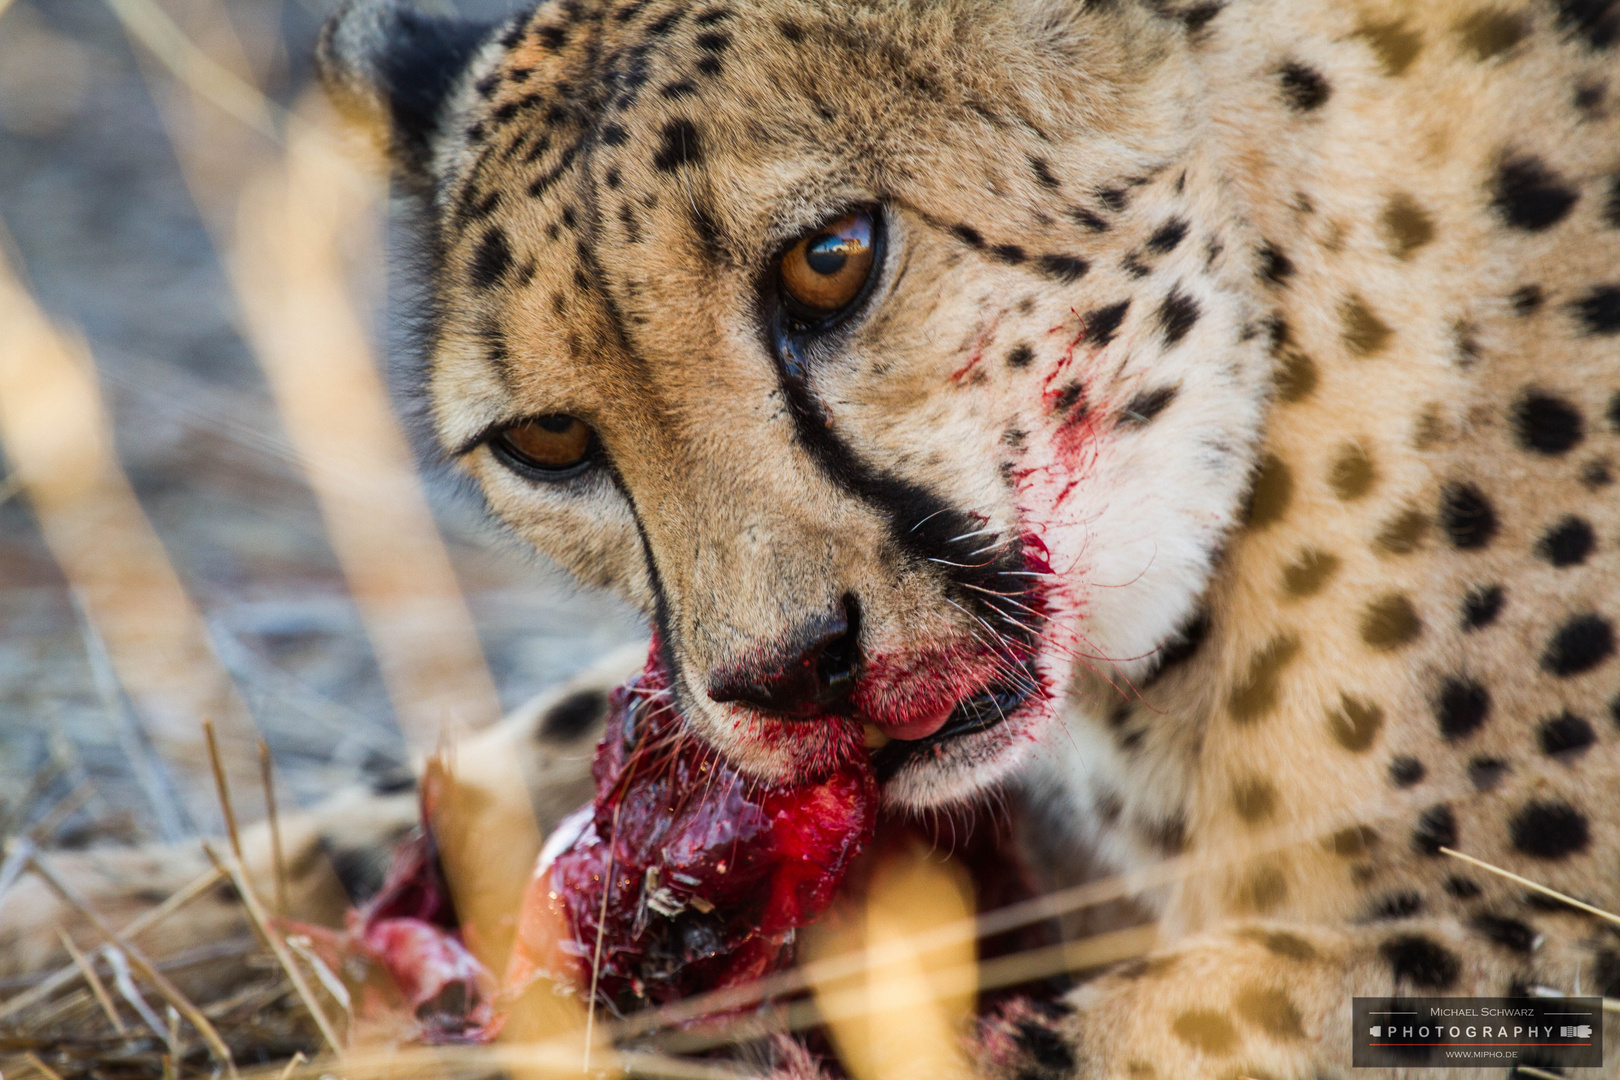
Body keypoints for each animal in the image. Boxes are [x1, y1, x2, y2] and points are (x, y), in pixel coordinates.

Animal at [63, 0, 1620, 1075]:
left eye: (831, 260)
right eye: (548, 443)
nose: (793, 671)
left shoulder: (1507, 930)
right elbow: (516, 754)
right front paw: (102, 912)